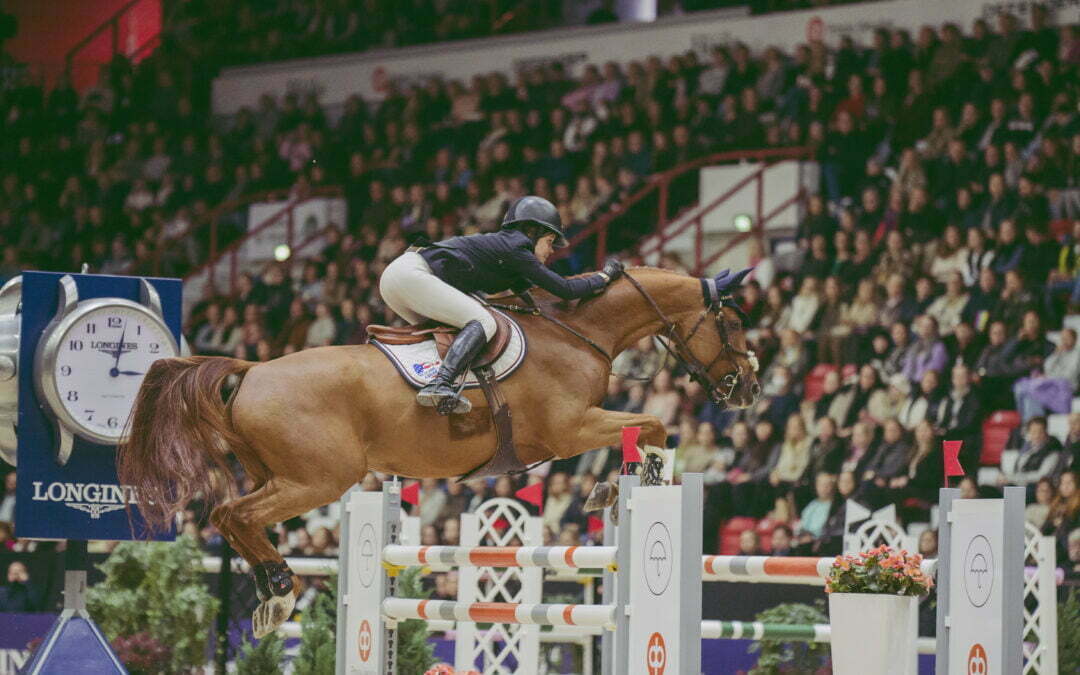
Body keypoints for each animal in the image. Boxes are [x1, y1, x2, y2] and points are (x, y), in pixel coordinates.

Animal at [117, 266, 759, 637]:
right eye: (734, 322)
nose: (749, 389)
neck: (578, 332)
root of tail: (251, 370)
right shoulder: (572, 430)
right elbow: (653, 424)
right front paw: (633, 478)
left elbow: (648, 425)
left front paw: (613, 484)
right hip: (317, 480)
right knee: (232, 514)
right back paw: (279, 589)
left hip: (279, 475)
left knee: (234, 518)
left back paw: (270, 595)